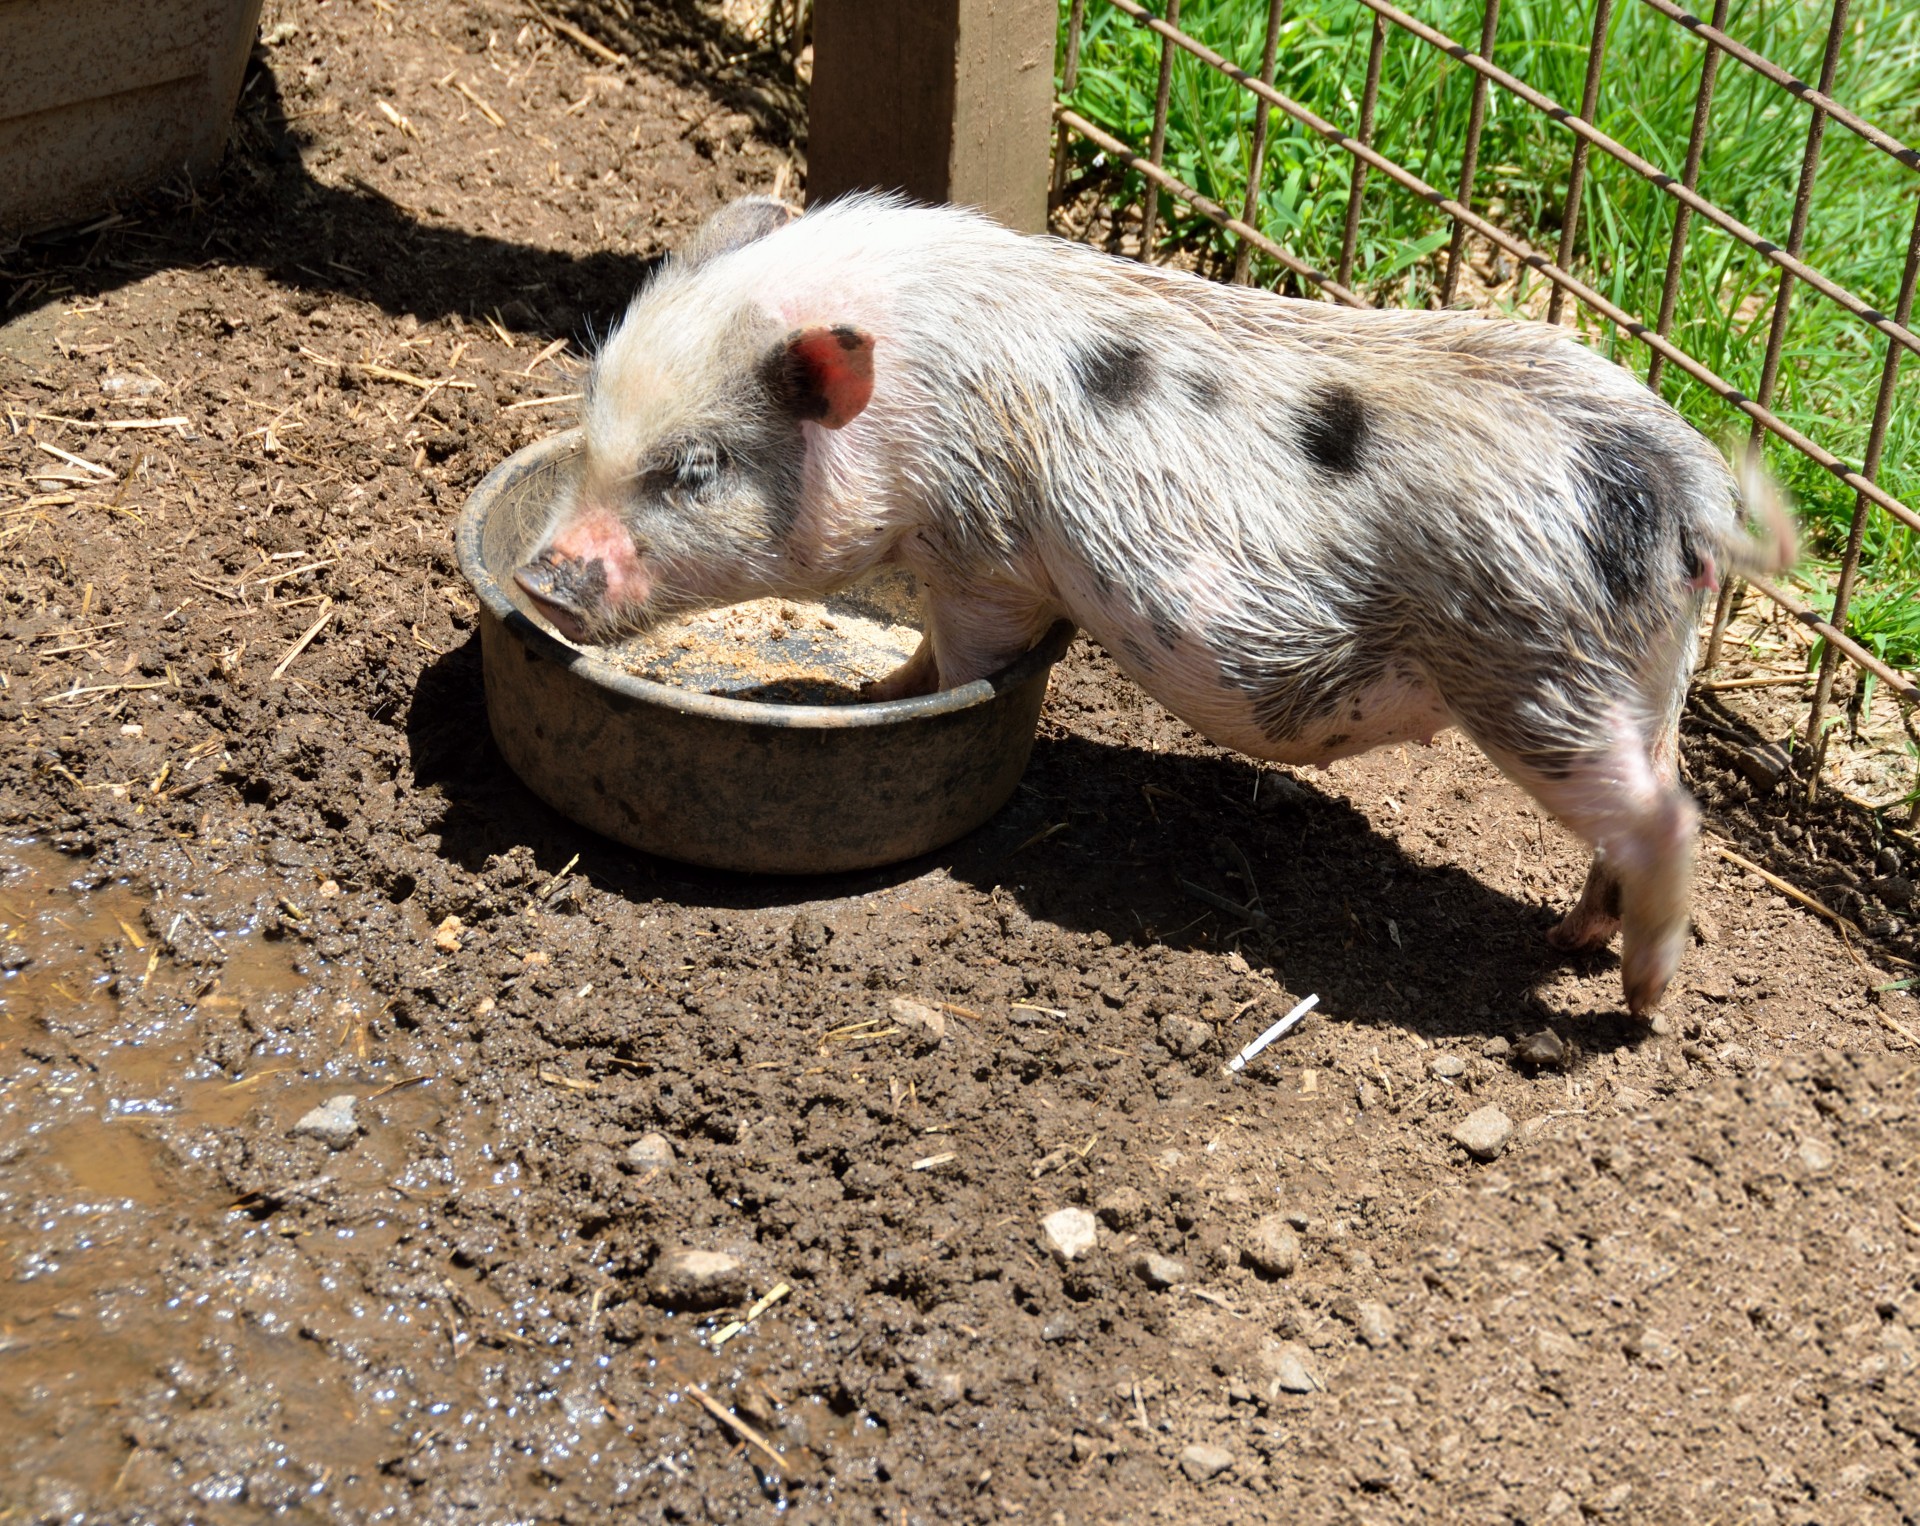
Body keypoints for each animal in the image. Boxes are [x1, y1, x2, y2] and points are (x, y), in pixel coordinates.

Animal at [518, 199, 1789, 1013]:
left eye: (695, 468)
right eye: (593, 417)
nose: (539, 577)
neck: (914, 400)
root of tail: (1685, 488)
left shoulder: (987, 548)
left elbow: (964, 656)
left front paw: (892, 696)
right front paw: (874, 683)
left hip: (1533, 667)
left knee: (1671, 817)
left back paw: (1639, 1004)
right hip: (1636, 676)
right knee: (1653, 790)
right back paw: (1571, 934)